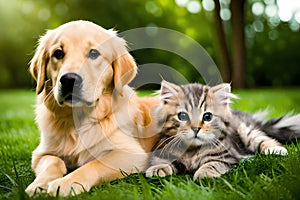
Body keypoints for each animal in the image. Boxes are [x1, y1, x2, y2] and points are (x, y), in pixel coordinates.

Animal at [26, 20, 159, 197]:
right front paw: (38, 185)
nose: (69, 80)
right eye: (58, 53)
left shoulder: (132, 153)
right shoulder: (42, 153)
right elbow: (54, 162)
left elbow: (94, 164)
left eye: (94, 53)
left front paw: (66, 183)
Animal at [146, 81, 300, 180]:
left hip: (246, 131)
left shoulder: (226, 156)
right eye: (182, 116)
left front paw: (204, 174)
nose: (196, 128)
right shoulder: (163, 151)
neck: (192, 151)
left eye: (207, 116)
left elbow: (212, 164)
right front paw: (157, 169)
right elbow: (163, 162)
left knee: (264, 139)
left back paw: (277, 151)